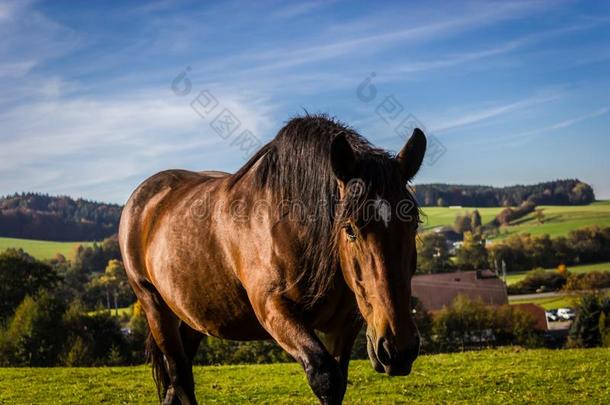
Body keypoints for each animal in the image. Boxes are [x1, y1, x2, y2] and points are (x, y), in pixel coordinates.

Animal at [117, 114, 422, 404]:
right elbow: (325, 377)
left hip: (196, 314)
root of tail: (142, 197)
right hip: (155, 307)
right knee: (180, 377)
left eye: (414, 224)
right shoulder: (273, 308)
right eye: (349, 229)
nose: (399, 349)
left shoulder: (344, 325)